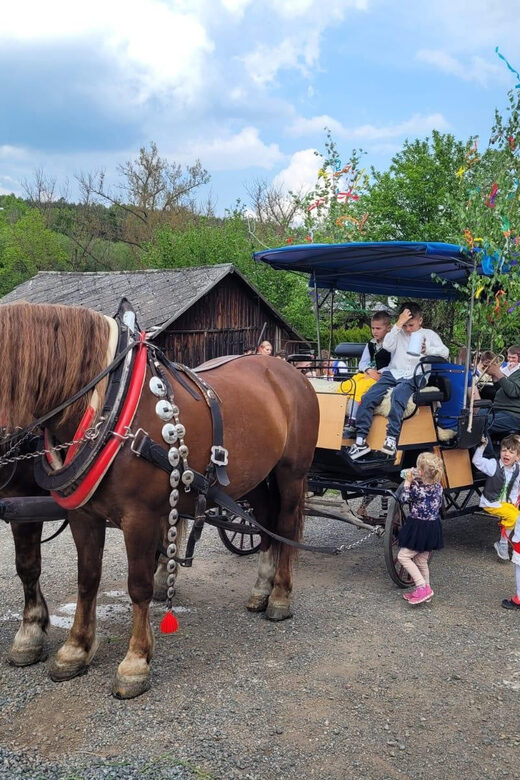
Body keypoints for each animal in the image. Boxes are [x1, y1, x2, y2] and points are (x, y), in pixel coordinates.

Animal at [0, 301, 319, 698]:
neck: (111, 403)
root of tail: (288, 370)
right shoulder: (83, 515)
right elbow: (86, 578)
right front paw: (75, 649)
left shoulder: (139, 517)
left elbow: (138, 586)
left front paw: (135, 662)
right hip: (256, 478)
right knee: (265, 524)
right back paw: (261, 590)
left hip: (291, 474)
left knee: (286, 526)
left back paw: (279, 597)